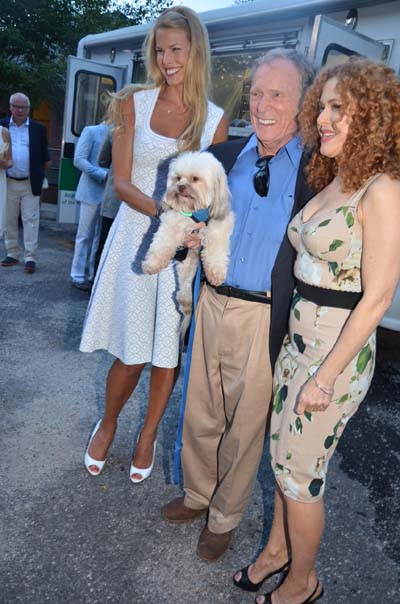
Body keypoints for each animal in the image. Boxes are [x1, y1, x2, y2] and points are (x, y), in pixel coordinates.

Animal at [143, 151, 234, 338]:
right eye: (178, 178)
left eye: (195, 179)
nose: (181, 187)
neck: (195, 212)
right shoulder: (172, 223)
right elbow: (162, 243)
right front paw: (152, 264)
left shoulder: (219, 229)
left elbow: (215, 252)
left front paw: (216, 274)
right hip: (187, 267)